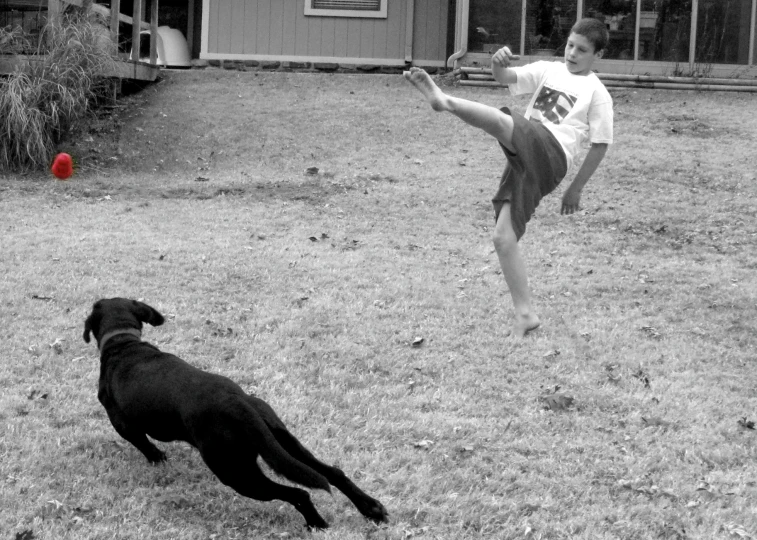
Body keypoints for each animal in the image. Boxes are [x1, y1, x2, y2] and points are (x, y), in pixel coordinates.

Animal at [84, 298, 390, 528]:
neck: (123, 343)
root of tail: (236, 402)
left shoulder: (122, 423)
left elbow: (144, 444)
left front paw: (157, 458)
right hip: (282, 442)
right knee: (333, 472)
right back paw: (371, 509)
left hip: (235, 472)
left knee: (299, 493)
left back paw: (317, 524)